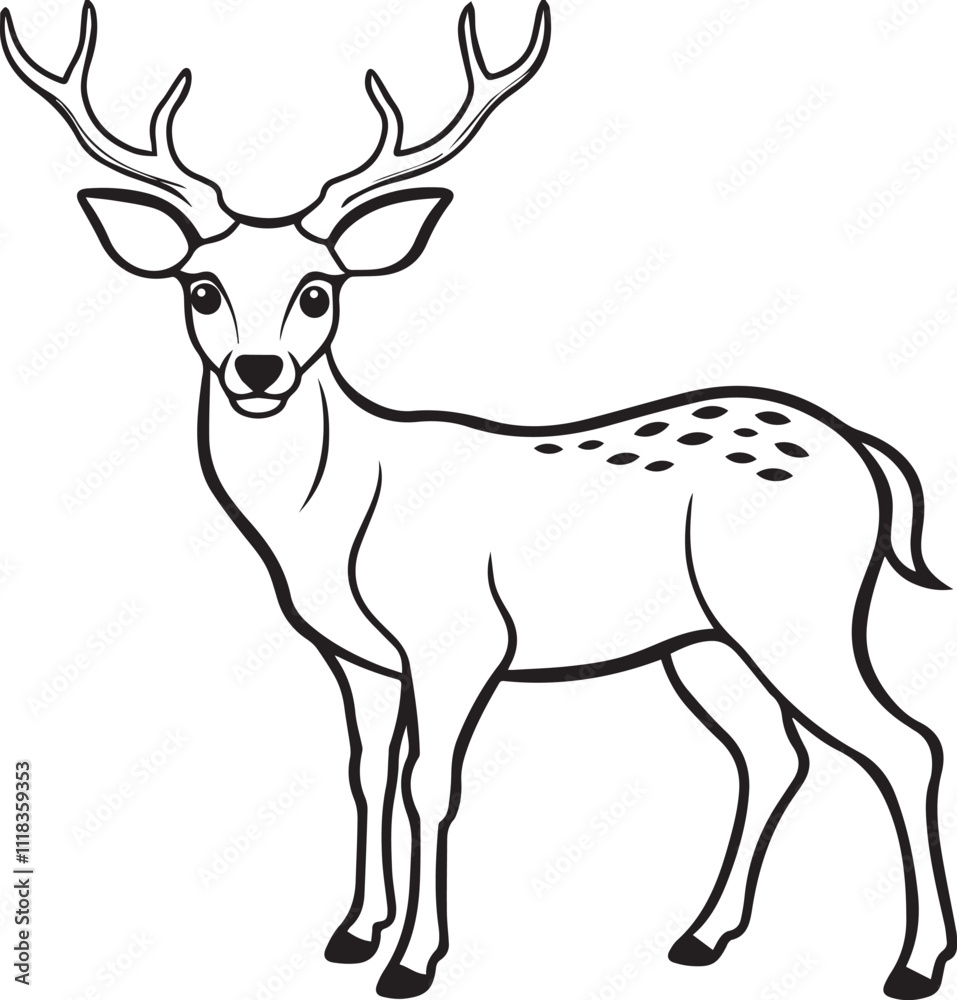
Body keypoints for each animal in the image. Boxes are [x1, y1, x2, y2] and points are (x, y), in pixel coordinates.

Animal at [3, 3, 955, 997]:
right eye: (201, 288)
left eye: (318, 291)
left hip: (798, 612)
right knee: (774, 754)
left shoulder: (459, 640)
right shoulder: (359, 658)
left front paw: (412, 960)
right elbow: (367, 774)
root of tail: (865, 451)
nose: (256, 371)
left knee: (905, 742)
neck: (335, 523)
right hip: (703, 641)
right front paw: (353, 932)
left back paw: (913, 963)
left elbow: (431, 786)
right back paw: (700, 936)